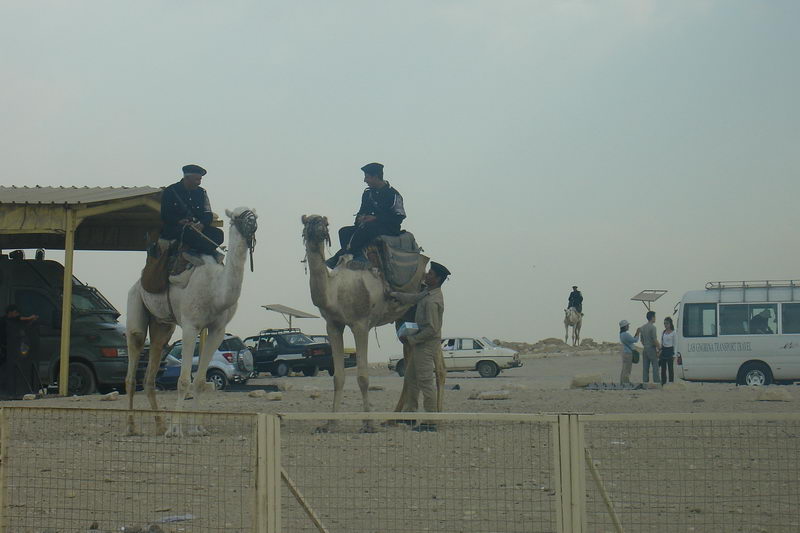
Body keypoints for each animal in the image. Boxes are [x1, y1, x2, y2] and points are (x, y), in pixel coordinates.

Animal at [123, 206, 258, 434]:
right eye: (237, 215)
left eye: (253, 214)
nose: (252, 223)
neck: (216, 290)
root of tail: (138, 283)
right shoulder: (189, 326)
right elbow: (184, 381)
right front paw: (175, 430)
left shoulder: (217, 330)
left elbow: (200, 381)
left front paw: (198, 428)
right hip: (135, 305)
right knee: (132, 369)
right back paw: (132, 427)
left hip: (162, 325)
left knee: (151, 372)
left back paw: (159, 426)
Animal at [302, 214, 438, 430]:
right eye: (308, 222)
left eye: (324, 222)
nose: (320, 230)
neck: (335, 290)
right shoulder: (333, 325)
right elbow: (338, 377)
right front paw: (330, 424)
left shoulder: (360, 324)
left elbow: (363, 377)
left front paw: (368, 424)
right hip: (403, 320)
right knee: (410, 359)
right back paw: (399, 418)